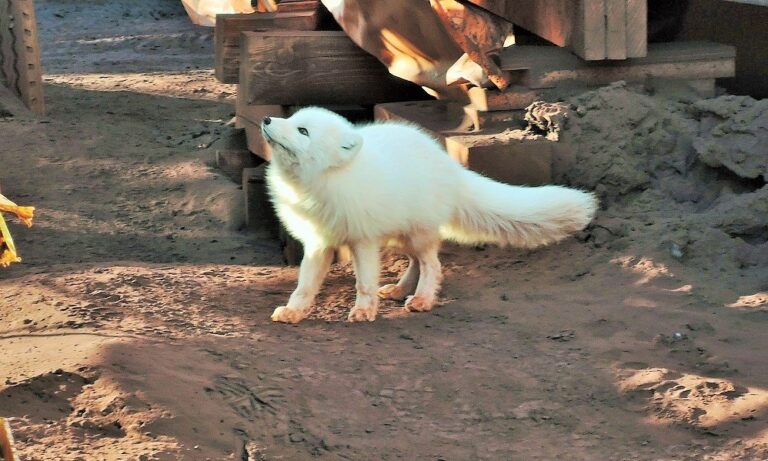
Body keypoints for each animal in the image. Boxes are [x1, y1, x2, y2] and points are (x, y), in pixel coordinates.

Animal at [260, 108, 596, 324]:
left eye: (303, 131)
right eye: (291, 119)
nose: (266, 119)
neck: (319, 183)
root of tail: (449, 163)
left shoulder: (363, 240)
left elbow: (364, 283)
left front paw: (364, 311)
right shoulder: (318, 242)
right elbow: (304, 285)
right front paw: (293, 311)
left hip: (415, 234)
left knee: (433, 265)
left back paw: (421, 299)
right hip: (400, 236)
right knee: (416, 263)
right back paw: (399, 290)